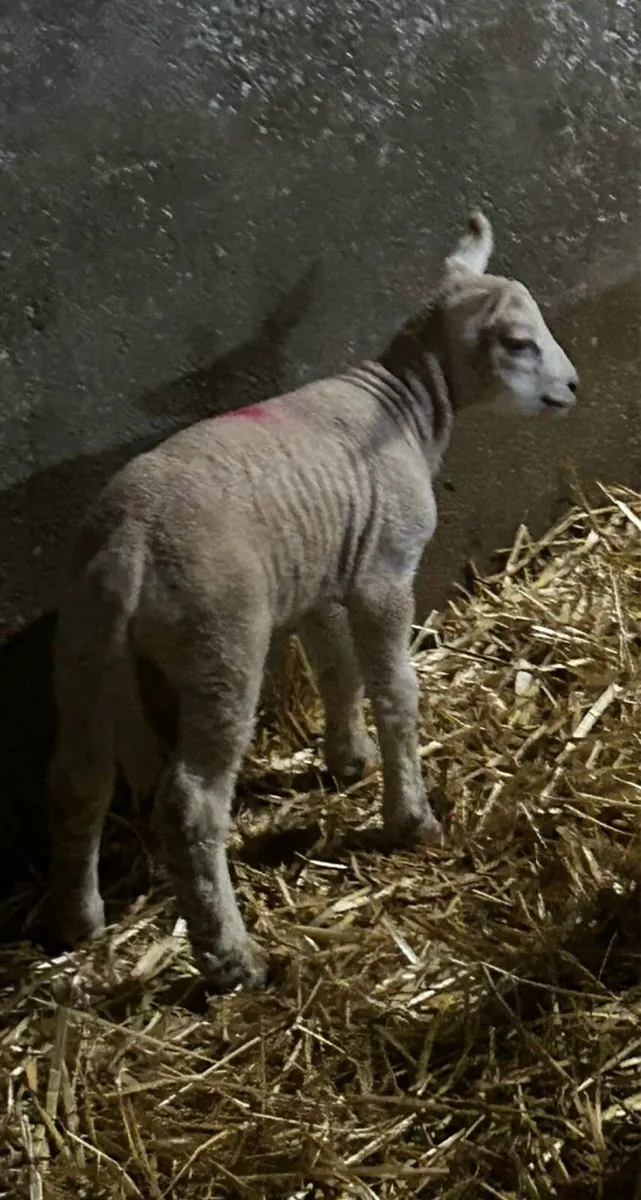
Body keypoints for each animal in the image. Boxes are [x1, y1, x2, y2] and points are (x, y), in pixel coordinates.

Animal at [44, 212, 578, 991]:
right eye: (517, 342)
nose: (572, 386)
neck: (405, 405)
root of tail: (130, 544)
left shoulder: (325, 577)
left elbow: (336, 671)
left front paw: (347, 759)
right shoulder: (384, 571)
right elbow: (393, 689)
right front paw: (409, 816)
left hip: (84, 641)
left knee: (79, 775)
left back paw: (79, 921)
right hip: (219, 640)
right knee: (191, 803)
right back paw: (230, 957)